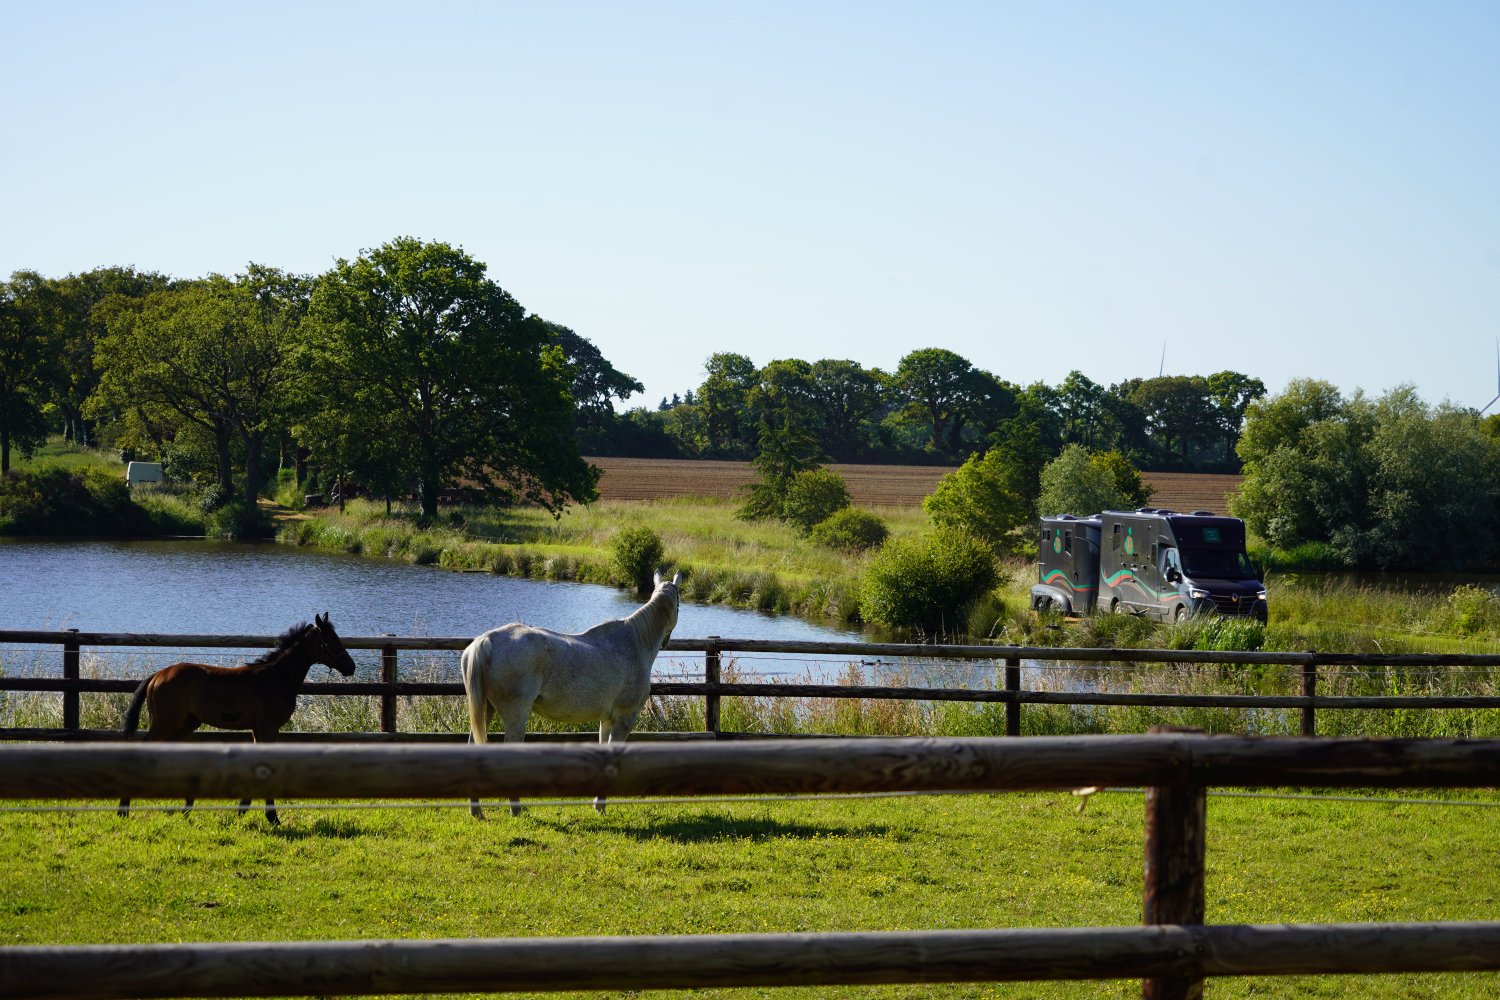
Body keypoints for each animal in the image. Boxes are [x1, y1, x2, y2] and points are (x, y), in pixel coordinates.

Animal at [116, 613, 358, 824]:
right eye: (331, 639)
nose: (351, 666)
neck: (277, 678)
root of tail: (157, 675)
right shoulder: (269, 727)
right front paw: (272, 816)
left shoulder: (258, 729)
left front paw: (243, 809)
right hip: (167, 723)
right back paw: (124, 808)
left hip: (186, 724)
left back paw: (185, 805)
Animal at [461, 570, 681, 818]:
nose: (667, 641)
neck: (634, 643)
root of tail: (485, 641)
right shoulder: (624, 718)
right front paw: (600, 805)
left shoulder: (607, 720)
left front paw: (597, 805)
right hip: (514, 715)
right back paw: (515, 808)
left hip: (485, 709)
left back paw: (477, 811)